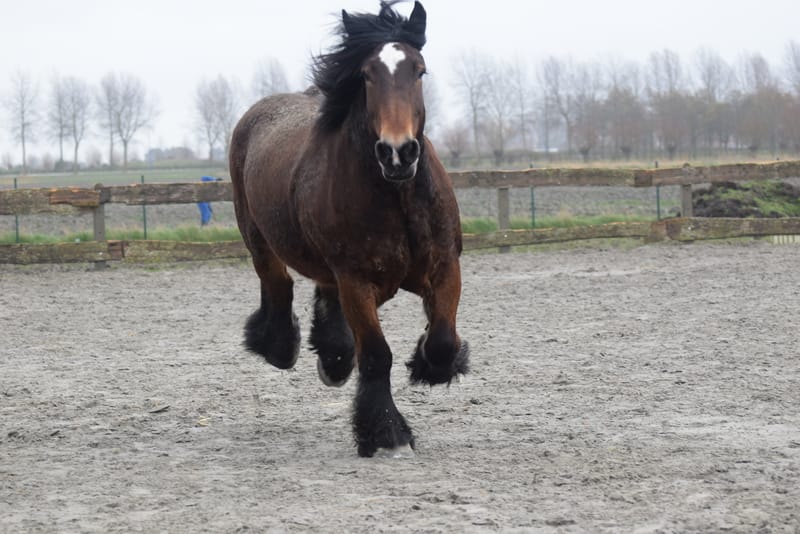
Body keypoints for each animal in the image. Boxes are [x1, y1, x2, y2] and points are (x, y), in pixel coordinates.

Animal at [229, 0, 469, 458]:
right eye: (366, 75)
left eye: (419, 70)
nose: (398, 152)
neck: (396, 197)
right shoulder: (356, 282)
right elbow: (377, 355)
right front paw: (387, 434)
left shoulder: (445, 266)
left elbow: (443, 338)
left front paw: (430, 365)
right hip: (258, 239)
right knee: (278, 284)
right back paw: (283, 347)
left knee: (321, 292)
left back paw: (334, 357)